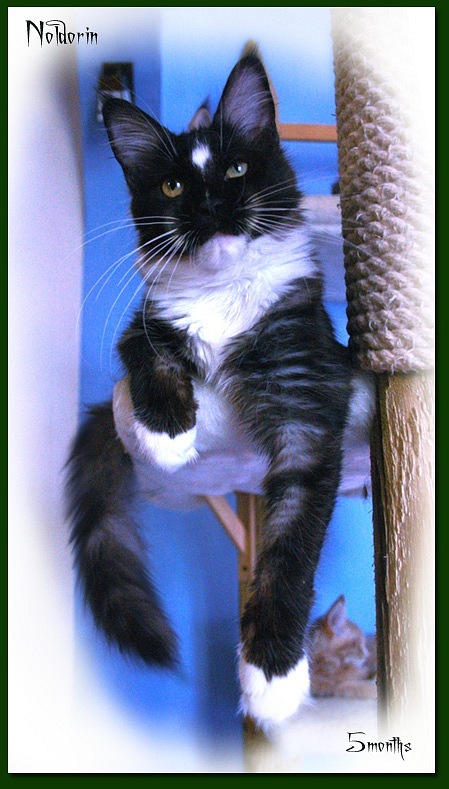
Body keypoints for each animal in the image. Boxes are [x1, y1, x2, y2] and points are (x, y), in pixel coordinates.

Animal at [66, 50, 374, 728]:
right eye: (174, 187)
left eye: (235, 169)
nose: (209, 204)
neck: (223, 295)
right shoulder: (144, 325)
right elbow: (151, 362)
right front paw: (167, 437)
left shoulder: (307, 414)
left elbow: (289, 557)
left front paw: (273, 677)